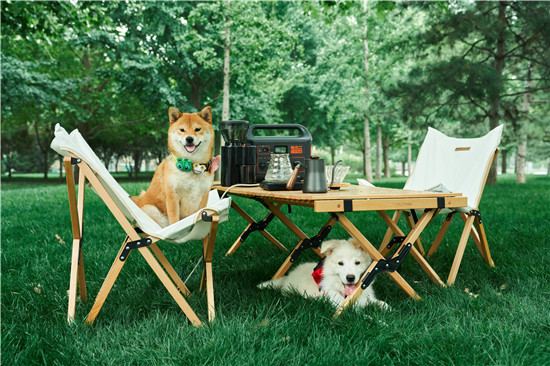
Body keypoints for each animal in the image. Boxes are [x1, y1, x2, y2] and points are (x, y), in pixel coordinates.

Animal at [260, 239, 390, 310]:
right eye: (340, 263)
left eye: (357, 263)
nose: (350, 278)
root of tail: (288, 277)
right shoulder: (343, 308)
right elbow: (366, 318)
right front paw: (382, 322)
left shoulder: (366, 297)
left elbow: (381, 303)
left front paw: (387, 308)